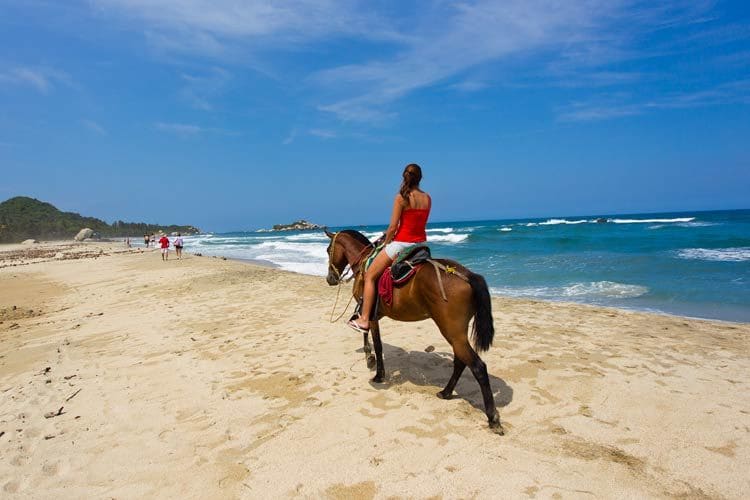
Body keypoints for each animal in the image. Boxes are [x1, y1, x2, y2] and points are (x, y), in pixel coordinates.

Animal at [324, 229, 506, 432]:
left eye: (328, 250)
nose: (330, 279)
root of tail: (467, 275)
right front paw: (369, 358)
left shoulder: (369, 314)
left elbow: (375, 342)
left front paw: (377, 371)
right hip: (456, 333)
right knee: (460, 361)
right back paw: (446, 392)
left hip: (451, 330)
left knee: (478, 367)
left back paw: (492, 417)